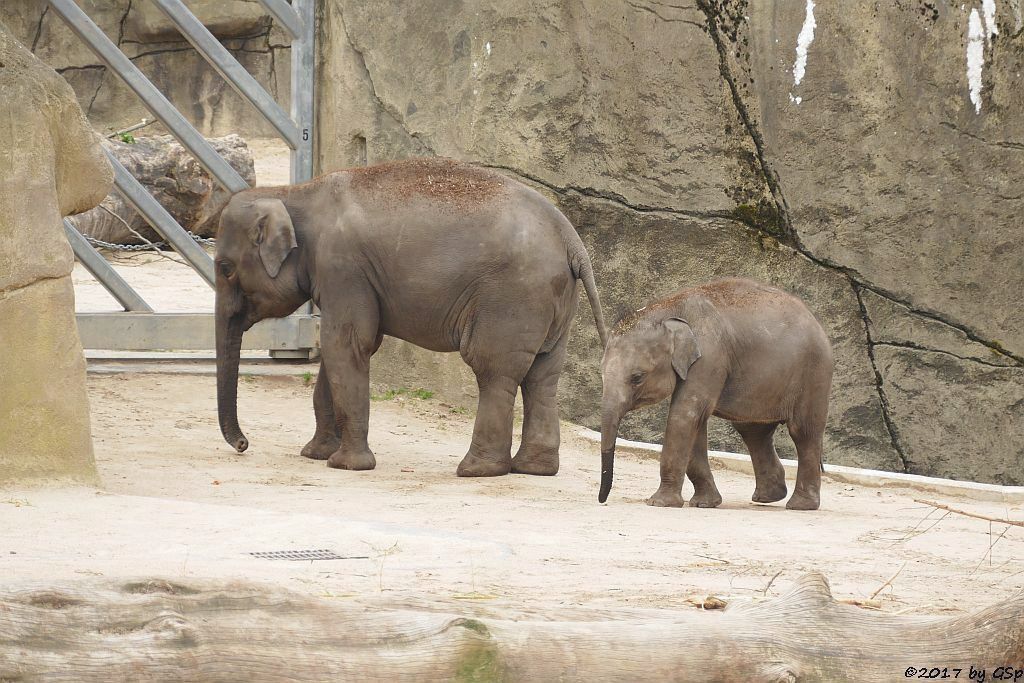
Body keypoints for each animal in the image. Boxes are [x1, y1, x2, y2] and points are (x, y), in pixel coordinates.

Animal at [211, 159, 602, 479]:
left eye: (225, 268)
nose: (244, 444)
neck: (293, 193)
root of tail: (571, 239)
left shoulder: (343, 268)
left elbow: (346, 344)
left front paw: (346, 465)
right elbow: (344, 348)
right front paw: (315, 455)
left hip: (512, 298)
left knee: (493, 370)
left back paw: (476, 470)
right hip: (554, 303)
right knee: (542, 375)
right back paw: (534, 469)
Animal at [598, 278, 831, 507]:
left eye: (637, 377)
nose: (602, 501)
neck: (668, 308)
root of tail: (815, 320)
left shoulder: (709, 358)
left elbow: (684, 416)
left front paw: (659, 503)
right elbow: (695, 422)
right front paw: (704, 503)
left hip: (814, 373)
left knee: (803, 431)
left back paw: (800, 505)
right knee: (753, 431)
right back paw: (768, 497)